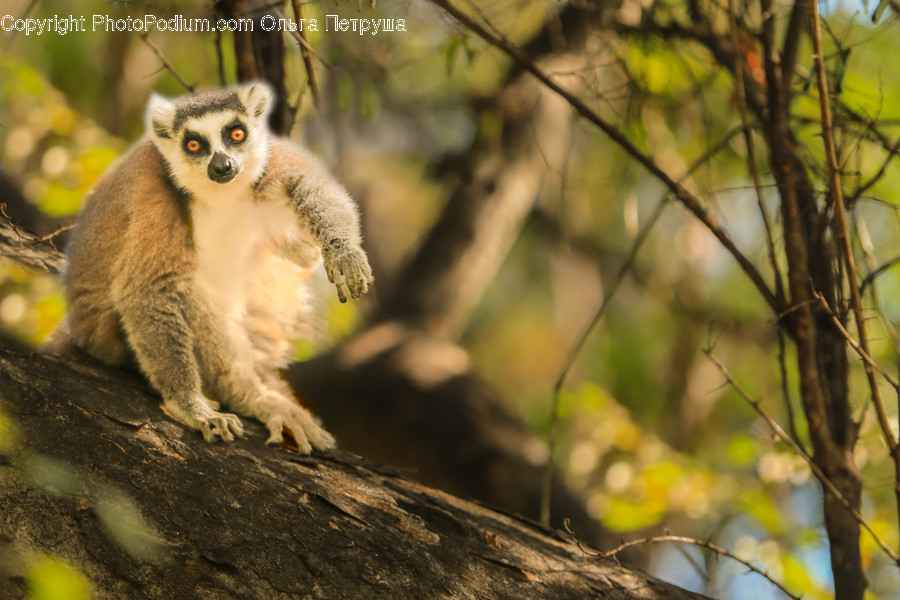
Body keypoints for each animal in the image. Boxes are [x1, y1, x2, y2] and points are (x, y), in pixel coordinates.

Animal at [53, 82, 372, 453]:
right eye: (194, 145)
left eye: (237, 133)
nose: (223, 165)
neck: (219, 196)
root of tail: (78, 325)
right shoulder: (153, 194)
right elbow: (147, 290)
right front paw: (190, 405)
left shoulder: (267, 160)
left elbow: (313, 188)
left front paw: (343, 252)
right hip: (107, 337)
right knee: (189, 294)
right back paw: (250, 395)